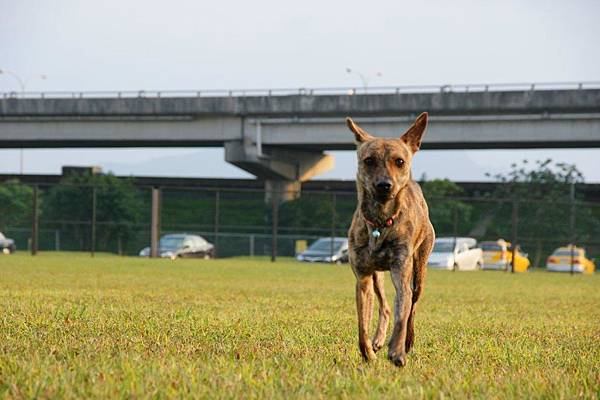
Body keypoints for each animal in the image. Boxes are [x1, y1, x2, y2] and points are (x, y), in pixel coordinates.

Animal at [344, 111, 434, 366]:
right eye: (368, 160)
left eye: (399, 161)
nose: (384, 185)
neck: (380, 221)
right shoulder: (362, 277)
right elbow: (362, 325)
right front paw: (368, 353)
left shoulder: (401, 271)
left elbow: (402, 314)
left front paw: (397, 350)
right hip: (377, 276)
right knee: (383, 306)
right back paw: (377, 340)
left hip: (419, 267)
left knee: (413, 305)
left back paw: (408, 341)